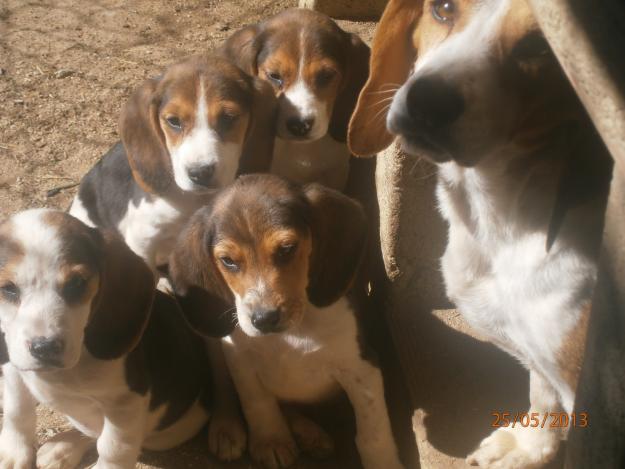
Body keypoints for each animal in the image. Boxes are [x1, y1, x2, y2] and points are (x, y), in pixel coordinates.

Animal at [0, 209, 211, 468]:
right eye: (8, 289)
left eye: (77, 283)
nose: (45, 348)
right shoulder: (14, 370)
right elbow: (17, 413)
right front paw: (14, 453)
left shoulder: (125, 404)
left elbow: (113, 447)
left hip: (171, 432)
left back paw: (64, 448)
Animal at [168, 175, 402, 468]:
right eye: (228, 261)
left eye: (287, 249)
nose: (264, 319)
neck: (294, 332)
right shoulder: (241, 361)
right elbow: (257, 404)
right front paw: (272, 440)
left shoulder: (361, 368)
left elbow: (373, 434)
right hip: (217, 346)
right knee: (223, 388)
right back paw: (228, 428)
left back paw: (309, 434)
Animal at [348, 0, 612, 468]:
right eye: (443, 8)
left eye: (542, 48)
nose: (428, 102)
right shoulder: (540, 359)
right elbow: (542, 395)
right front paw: (530, 448)